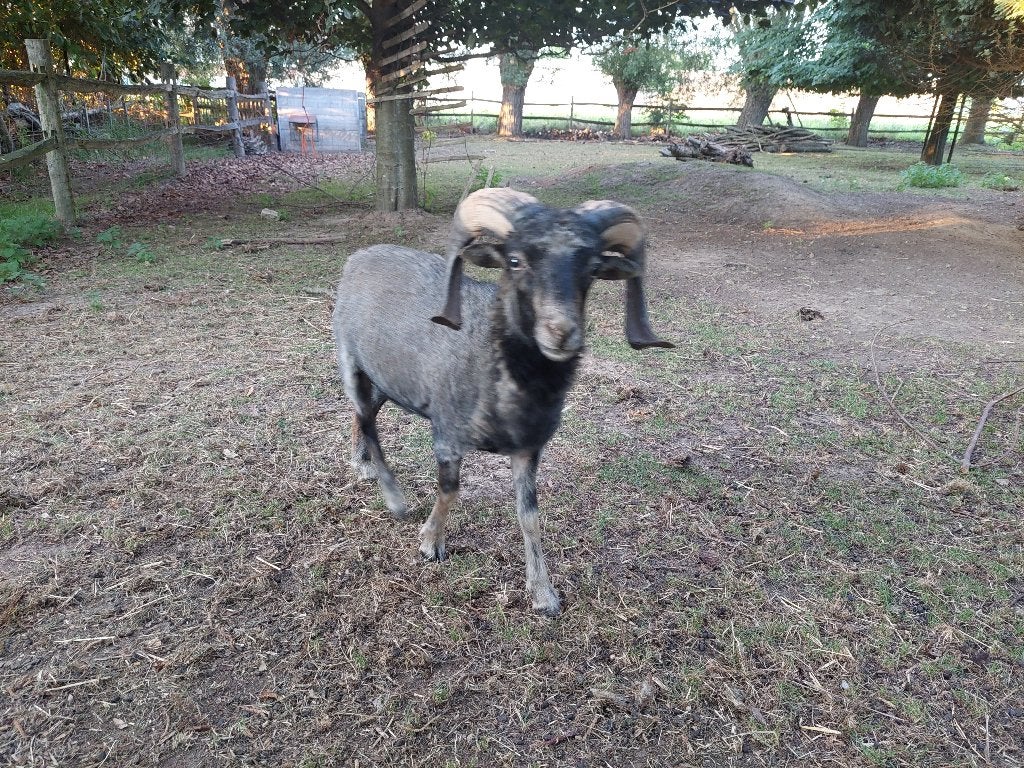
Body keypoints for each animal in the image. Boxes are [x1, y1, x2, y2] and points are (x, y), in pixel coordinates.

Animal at [332, 188, 672, 615]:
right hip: (349, 360)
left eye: (594, 267)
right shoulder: (447, 435)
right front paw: (430, 543)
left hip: (385, 379)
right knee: (365, 417)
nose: (561, 333)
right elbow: (450, 490)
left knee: (362, 414)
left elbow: (529, 515)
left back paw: (361, 464)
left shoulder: (528, 449)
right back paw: (392, 495)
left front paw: (543, 594)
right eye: (514, 260)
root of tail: (359, 255)